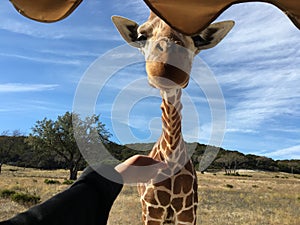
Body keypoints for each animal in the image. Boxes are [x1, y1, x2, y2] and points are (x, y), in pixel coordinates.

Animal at [112, 11, 234, 224]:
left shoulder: (187, 212)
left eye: (197, 38)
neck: (171, 159)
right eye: (141, 35)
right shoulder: (152, 210)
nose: (166, 66)